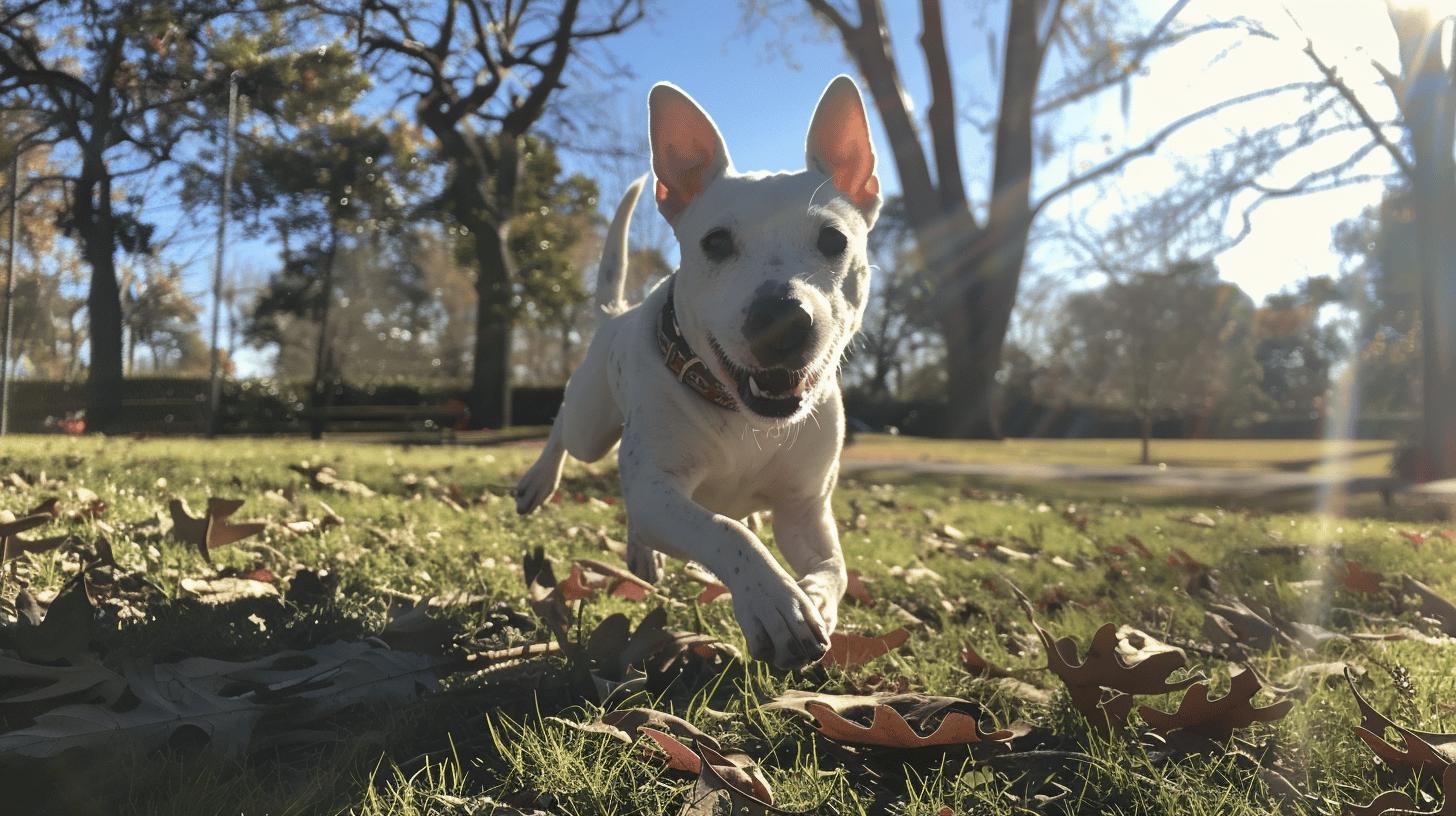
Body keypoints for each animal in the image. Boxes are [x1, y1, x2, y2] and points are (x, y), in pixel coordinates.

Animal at [518, 75, 879, 670]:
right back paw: (538, 480)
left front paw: (815, 600)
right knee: (567, 426)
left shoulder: (805, 510)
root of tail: (615, 314)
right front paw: (776, 603)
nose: (781, 320)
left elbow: (835, 568)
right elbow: (725, 531)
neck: (744, 415)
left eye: (834, 239)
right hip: (593, 423)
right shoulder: (659, 490)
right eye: (716, 242)